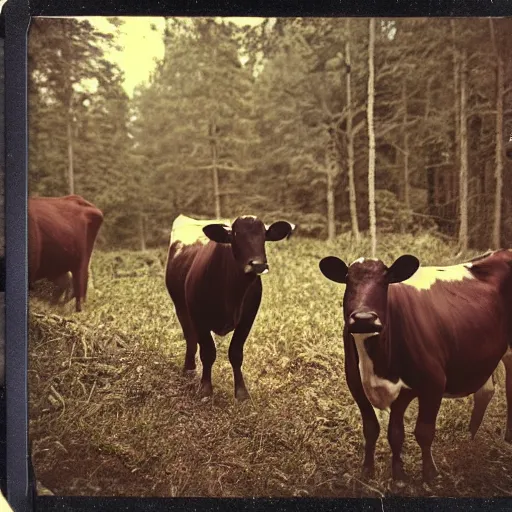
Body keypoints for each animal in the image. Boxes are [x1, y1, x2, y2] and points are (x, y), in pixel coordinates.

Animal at [164, 212, 292, 400]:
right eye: (236, 236)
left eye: (264, 236)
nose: (258, 264)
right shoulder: (198, 316)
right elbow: (207, 352)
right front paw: (205, 388)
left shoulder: (248, 317)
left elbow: (236, 353)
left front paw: (241, 392)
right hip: (181, 306)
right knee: (190, 337)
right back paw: (189, 369)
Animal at [320, 250, 512, 482]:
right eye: (348, 280)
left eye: (385, 281)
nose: (364, 318)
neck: (377, 367)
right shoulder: (358, 383)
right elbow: (381, 431)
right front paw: (381, 472)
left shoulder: (433, 383)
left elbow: (423, 431)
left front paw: (429, 473)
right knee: (486, 391)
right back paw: (470, 439)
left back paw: (507, 439)